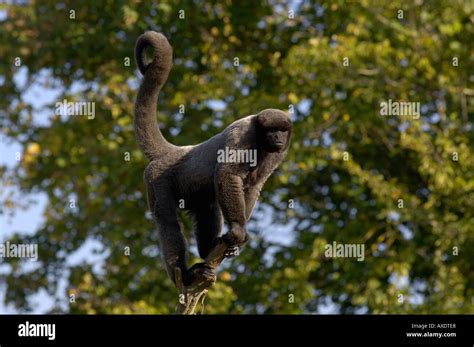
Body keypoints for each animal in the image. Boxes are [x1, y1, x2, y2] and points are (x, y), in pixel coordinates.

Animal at [131, 32, 290, 288]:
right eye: (272, 130)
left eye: (283, 131)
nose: (278, 137)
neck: (260, 136)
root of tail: (175, 152)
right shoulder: (242, 136)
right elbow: (228, 174)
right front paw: (238, 229)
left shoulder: (279, 153)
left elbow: (254, 186)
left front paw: (236, 234)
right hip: (155, 178)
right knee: (167, 222)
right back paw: (186, 275)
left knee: (208, 210)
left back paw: (208, 251)